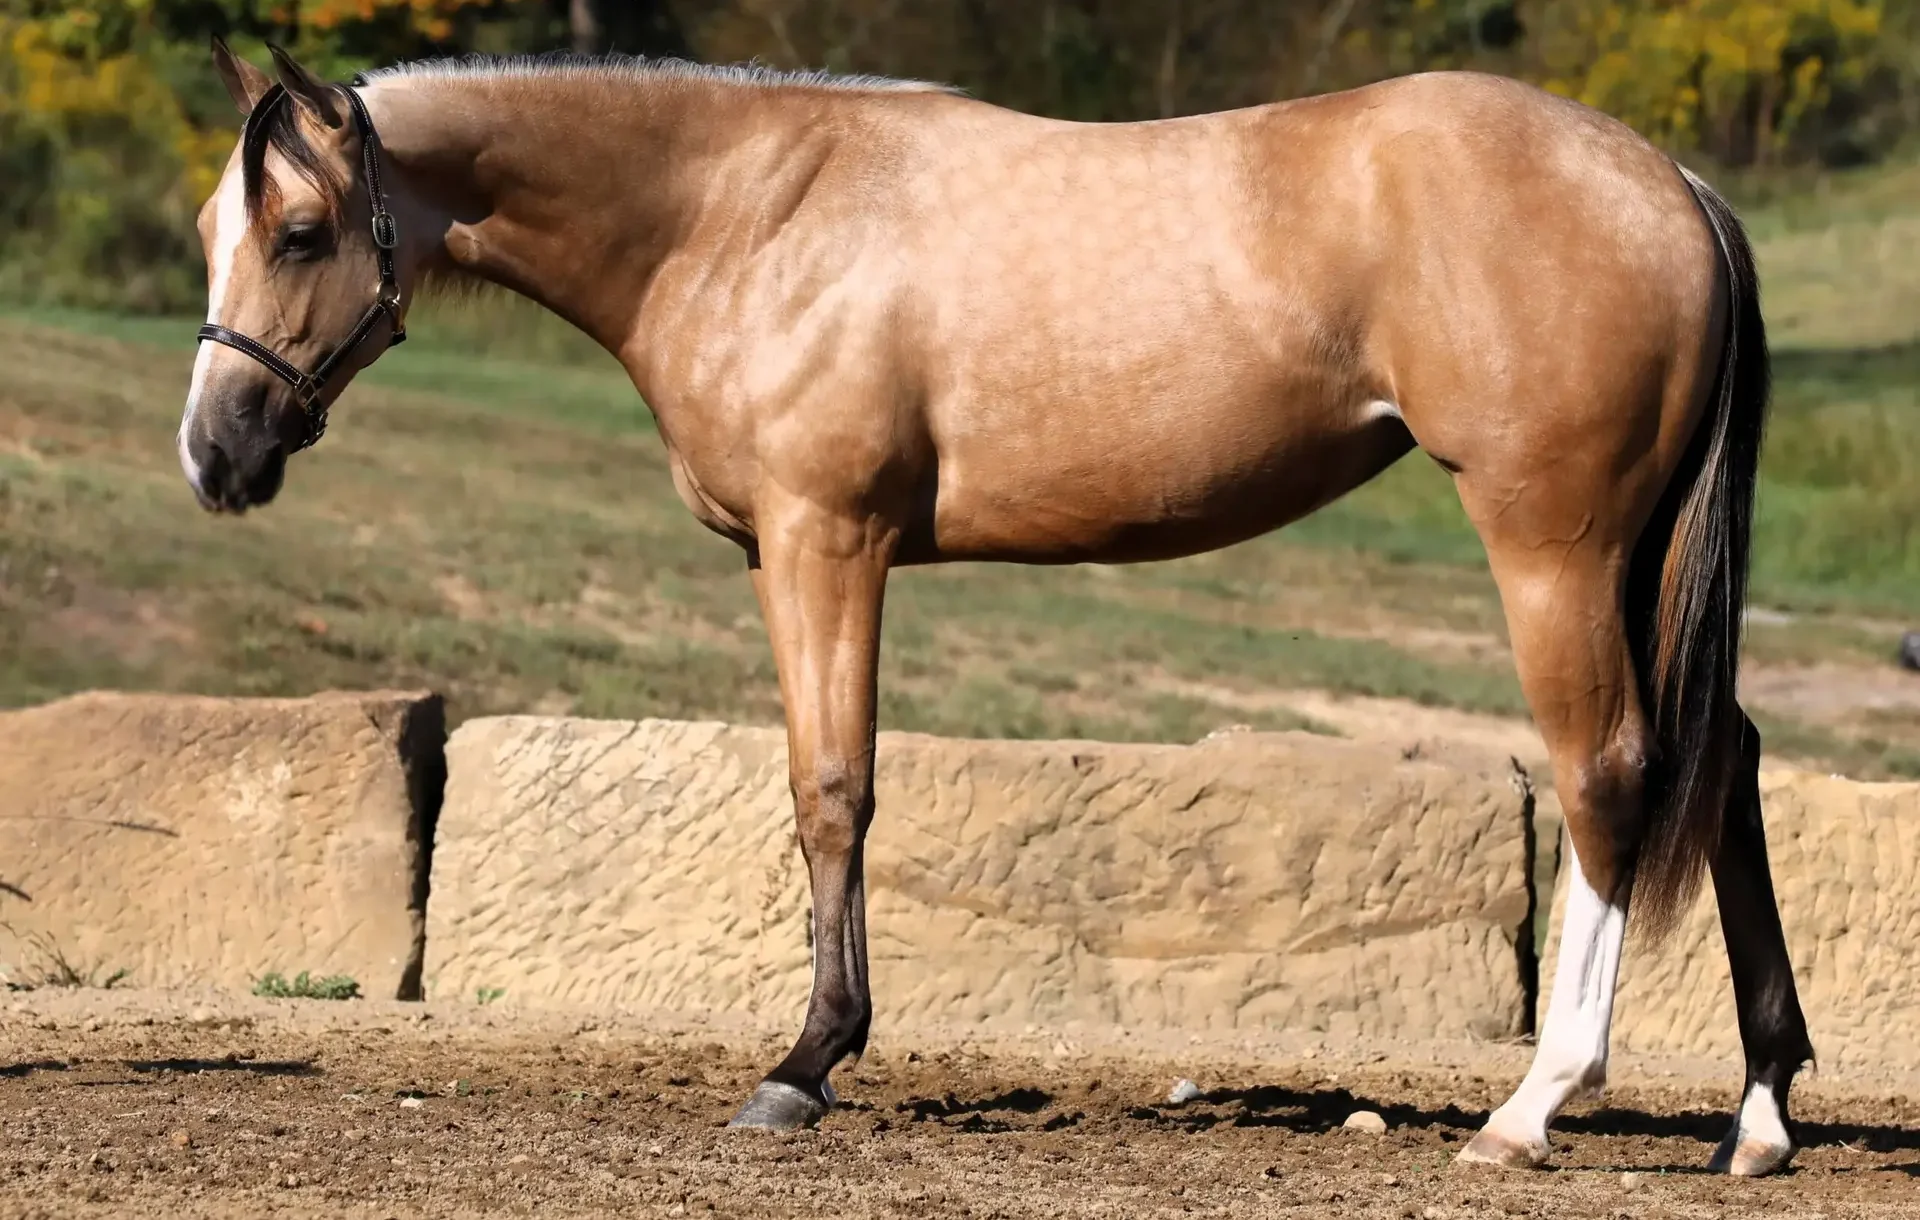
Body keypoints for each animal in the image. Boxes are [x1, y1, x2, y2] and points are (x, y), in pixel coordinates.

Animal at [178, 39, 1814, 1174]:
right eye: (214, 230)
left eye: (304, 233)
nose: (215, 453)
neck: (743, 210)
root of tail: (1673, 187)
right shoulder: (798, 555)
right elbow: (821, 790)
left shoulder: (826, 544)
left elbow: (832, 791)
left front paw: (805, 1063)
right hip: (1643, 558)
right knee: (1725, 763)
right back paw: (1759, 1114)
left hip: (1556, 547)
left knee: (1611, 773)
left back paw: (1534, 1106)